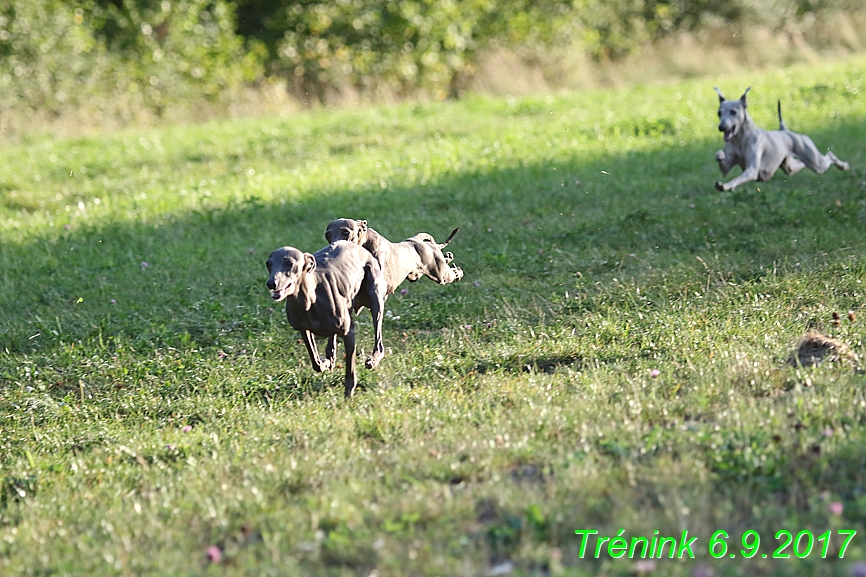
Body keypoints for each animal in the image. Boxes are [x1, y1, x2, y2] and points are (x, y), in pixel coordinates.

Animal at [264, 241, 384, 398]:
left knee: (379, 339)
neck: (309, 300)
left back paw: (373, 359)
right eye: (268, 264)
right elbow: (315, 362)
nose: (271, 283)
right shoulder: (303, 329)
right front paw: (324, 363)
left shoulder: (348, 333)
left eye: (289, 263)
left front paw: (349, 392)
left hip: (375, 298)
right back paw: (330, 357)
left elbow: (350, 368)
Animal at [712, 86, 848, 192]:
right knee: (800, 164)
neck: (741, 139)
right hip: (789, 166)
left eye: (733, 112)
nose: (721, 127)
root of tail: (784, 130)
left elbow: (739, 177)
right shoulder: (726, 167)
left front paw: (726, 186)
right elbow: (722, 162)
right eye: (719, 113)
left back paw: (844, 166)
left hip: (816, 162)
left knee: (829, 156)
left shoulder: (751, 170)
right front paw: (720, 155)